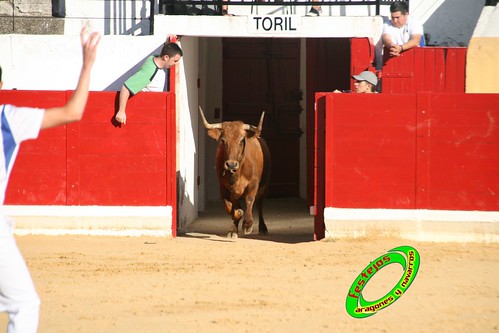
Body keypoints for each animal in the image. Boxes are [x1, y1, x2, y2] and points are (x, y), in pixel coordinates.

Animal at [199, 106, 272, 239]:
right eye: (223, 140)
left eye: (242, 140)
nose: (231, 164)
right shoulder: (223, 187)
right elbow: (231, 208)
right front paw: (233, 228)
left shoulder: (253, 184)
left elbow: (249, 200)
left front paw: (247, 224)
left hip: (264, 185)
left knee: (259, 204)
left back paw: (263, 227)